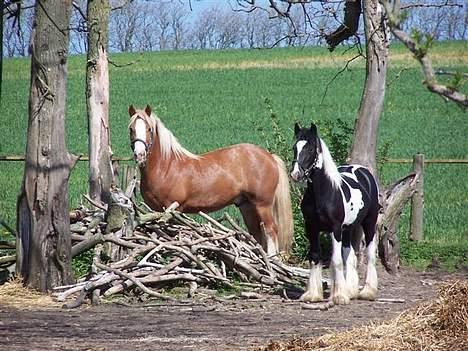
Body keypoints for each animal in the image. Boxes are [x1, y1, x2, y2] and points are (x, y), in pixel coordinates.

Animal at [128, 106, 292, 258]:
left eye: (149, 129)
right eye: (131, 129)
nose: (139, 155)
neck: (166, 166)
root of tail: (270, 156)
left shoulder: (173, 209)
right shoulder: (156, 210)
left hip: (263, 204)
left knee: (271, 230)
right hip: (246, 205)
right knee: (257, 232)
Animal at [292, 123, 380, 306]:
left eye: (310, 149)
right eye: (294, 148)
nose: (295, 174)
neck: (324, 193)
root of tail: (364, 171)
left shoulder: (335, 229)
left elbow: (336, 260)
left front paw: (339, 296)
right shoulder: (311, 228)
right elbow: (315, 257)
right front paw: (313, 294)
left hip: (369, 223)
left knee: (369, 254)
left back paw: (367, 291)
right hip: (348, 229)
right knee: (350, 256)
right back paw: (351, 290)